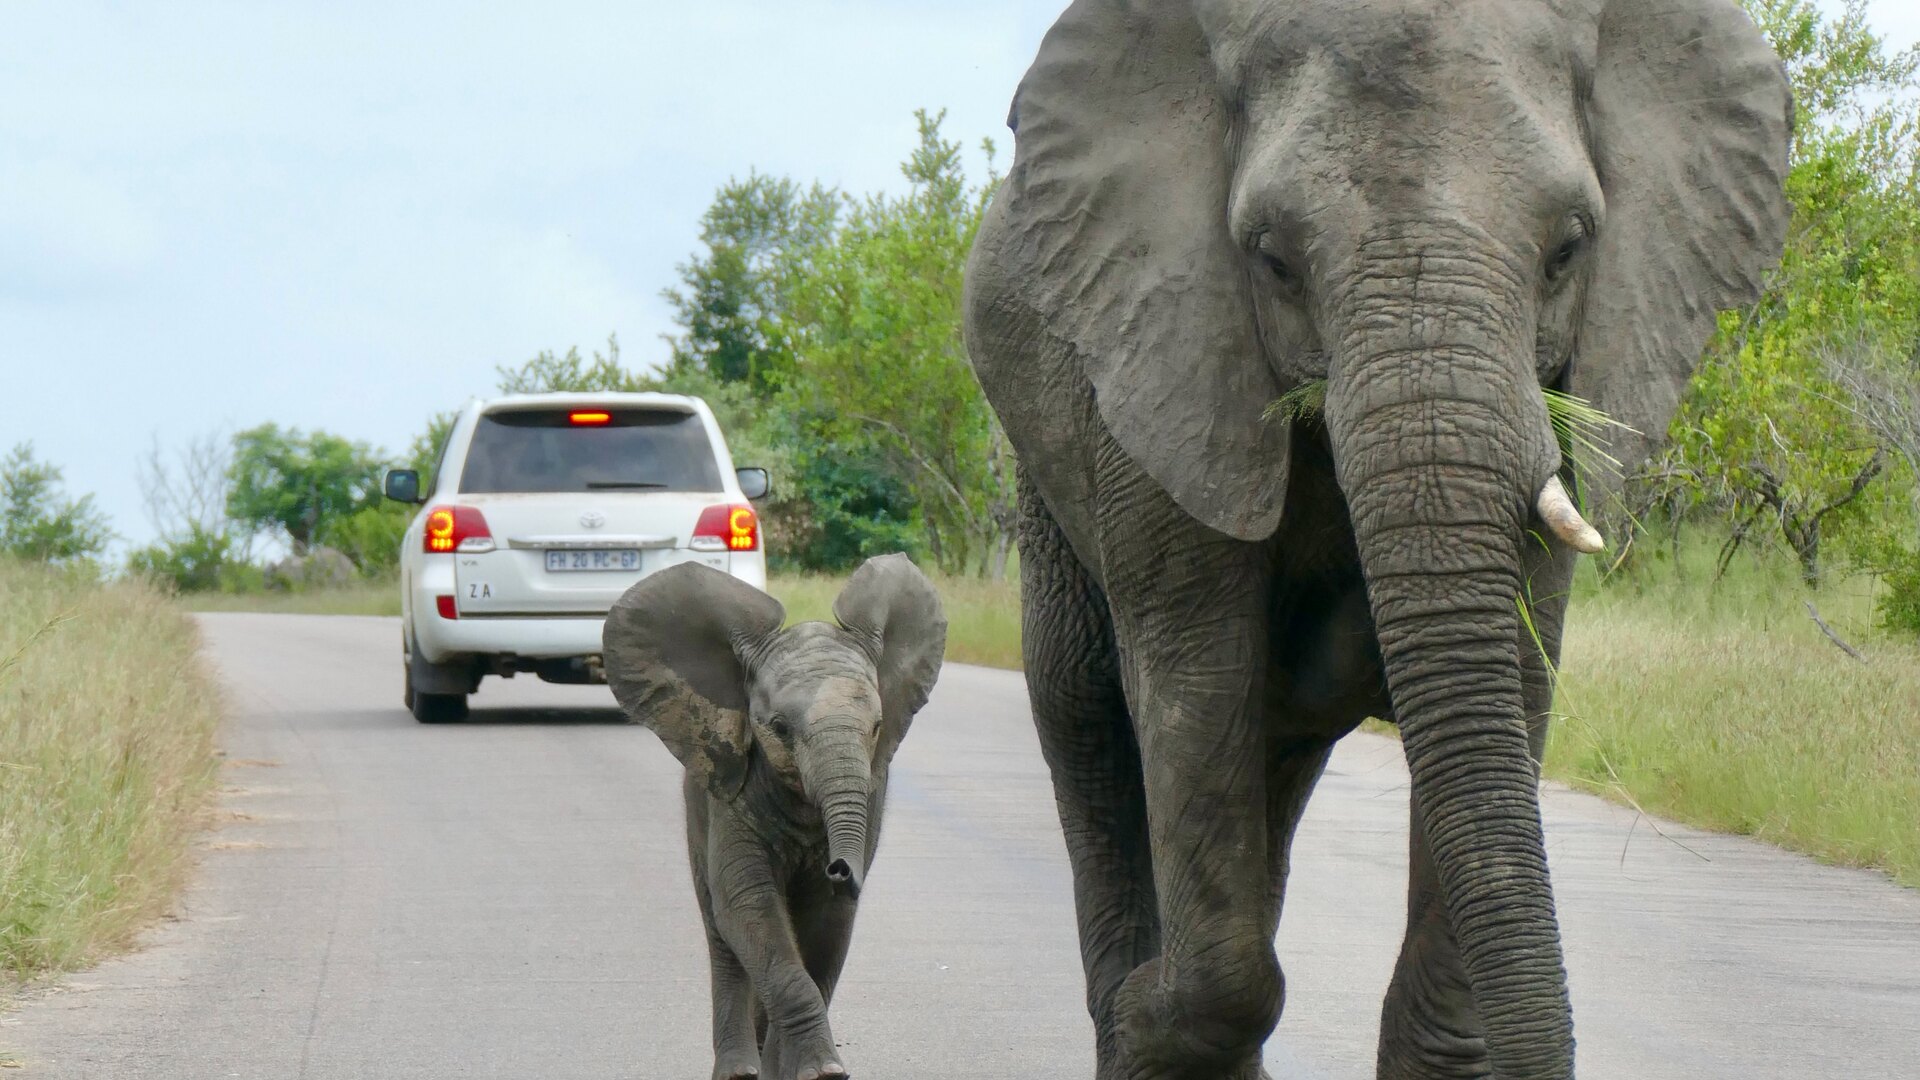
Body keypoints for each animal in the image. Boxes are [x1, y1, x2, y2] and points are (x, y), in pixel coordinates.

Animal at [601, 556, 947, 1080]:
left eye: (876, 727)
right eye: (780, 728)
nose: (839, 869)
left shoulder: (873, 788)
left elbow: (825, 928)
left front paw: (809, 1073)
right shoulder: (730, 798)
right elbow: (748, 905)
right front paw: (822, 1071)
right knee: (721, 931)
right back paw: (738, 1072)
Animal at [963, 0, 1791, 1077]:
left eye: (1570, 249)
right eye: (1273, 259)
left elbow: (1506, 688)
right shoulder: (1160, 361)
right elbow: (1192, 686)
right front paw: (1148, 1016)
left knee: (1270, 756)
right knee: (1087, 711)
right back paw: (1127, 997)